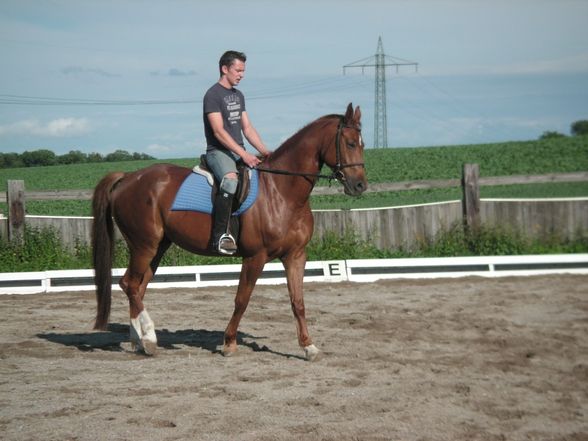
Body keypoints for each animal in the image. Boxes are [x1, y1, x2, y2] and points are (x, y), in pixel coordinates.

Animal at [92, 103, 368, 360]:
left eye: (363, 144)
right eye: (350, 143)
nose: (360, 186)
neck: (281, 191)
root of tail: (128, 177)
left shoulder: (295, 255)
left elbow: (297, 302)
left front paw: (309, 347)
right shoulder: (255, 257)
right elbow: (241, 300)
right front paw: (229, 343)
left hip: (158, 247)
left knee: (136, 287)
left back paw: (138, 341)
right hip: (144, 246)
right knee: (129, 284)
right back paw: (149, 338)